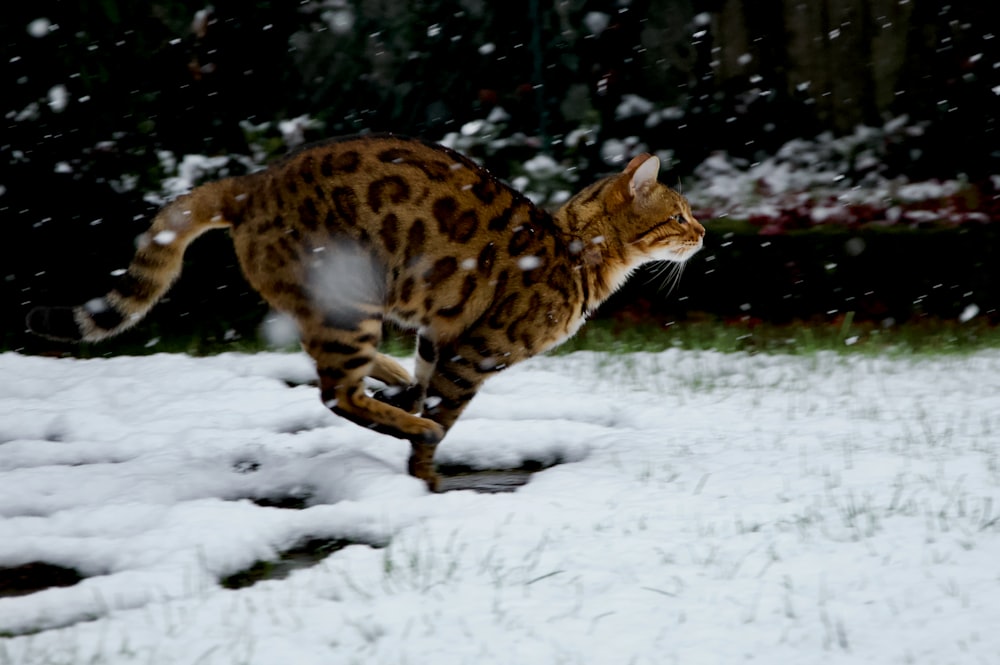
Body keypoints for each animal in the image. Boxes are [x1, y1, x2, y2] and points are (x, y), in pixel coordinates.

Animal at [29, 134, 704, 488]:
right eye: (678, 215)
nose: (703, 233)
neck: (574, 250)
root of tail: (253, 183)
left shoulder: (440, 334)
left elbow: (426, 382)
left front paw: (409, 410)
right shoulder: (475, 352)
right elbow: (442, 418)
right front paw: (426, 477)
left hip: (346, 308)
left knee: (345, 375)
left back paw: (394, 383)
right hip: (348, 301)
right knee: (336, 393)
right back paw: (404, 415)